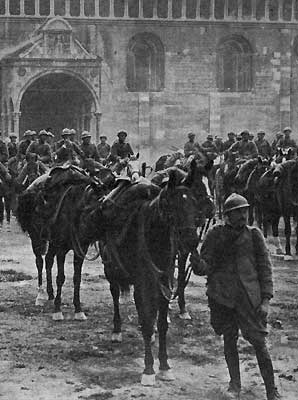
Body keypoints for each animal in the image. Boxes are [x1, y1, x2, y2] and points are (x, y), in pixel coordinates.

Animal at [100, 163, 200, 384]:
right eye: (172, 206)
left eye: (193, 204)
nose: (191, 240)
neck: (154, 237)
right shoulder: (142, 283)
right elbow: (146, 320)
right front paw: (148, 370)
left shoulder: (165, 281)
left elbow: (161, 323)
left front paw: (164, 366)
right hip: (111, 270)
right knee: (115, 295)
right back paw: (117, 330)